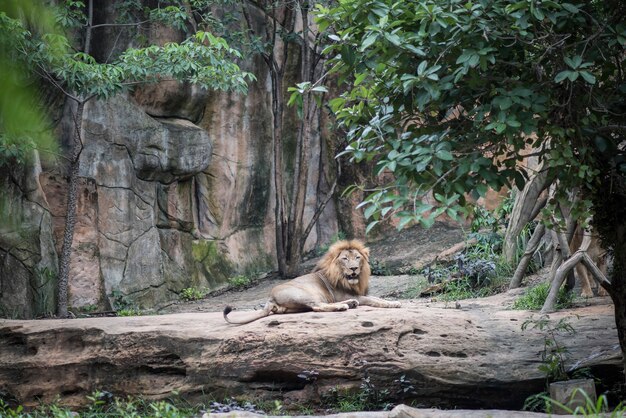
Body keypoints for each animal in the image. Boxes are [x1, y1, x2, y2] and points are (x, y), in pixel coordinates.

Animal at [223, 240, 400, 324]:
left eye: (357, 257)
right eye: (344, 259)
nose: (354, 268)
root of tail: (270, 299)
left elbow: (376, 297)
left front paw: (393, 302)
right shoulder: (345, 294)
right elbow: (373, 300)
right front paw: (392, 304)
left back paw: (351, 303)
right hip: (305, 294)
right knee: (317, 306)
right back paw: (344, 306)